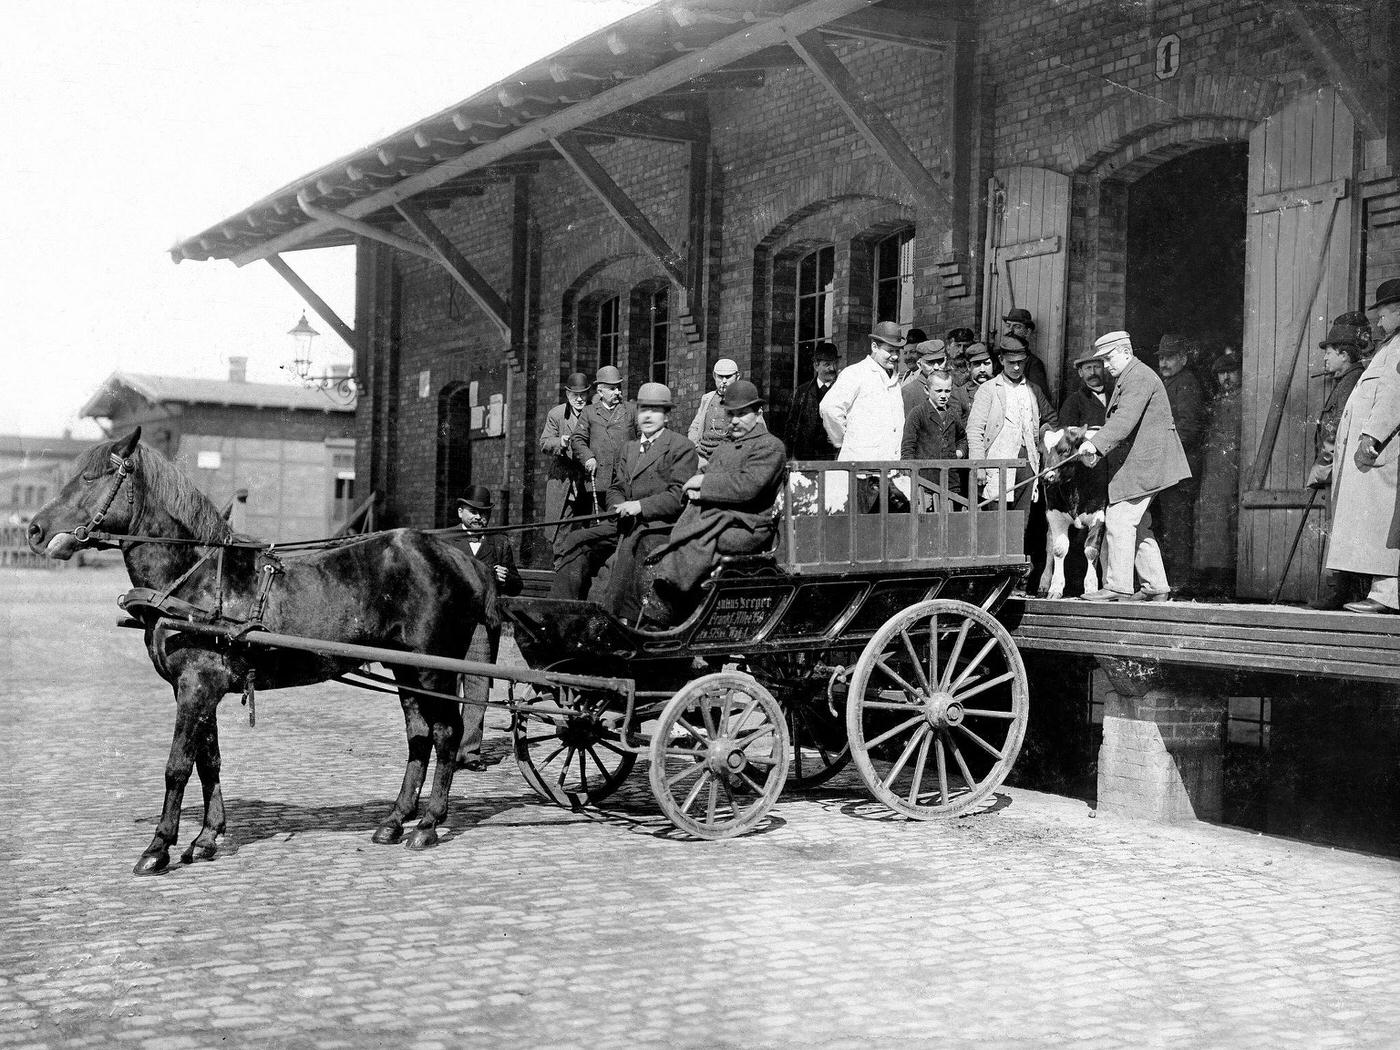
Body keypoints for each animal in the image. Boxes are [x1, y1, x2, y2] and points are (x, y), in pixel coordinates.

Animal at [27, 428, 501, 879]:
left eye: (93, 477)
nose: (33, 530)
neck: (196, 580)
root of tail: (463, 560)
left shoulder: (196, 687)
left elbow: (178, 765)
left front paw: (158, 847)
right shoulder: (200, 690)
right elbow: (209, 762)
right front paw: (207, 838)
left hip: (432, 672)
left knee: (447, 734)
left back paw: (429, 824)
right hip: (406, 670)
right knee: (419, 737)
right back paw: (395, 820)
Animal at [1041, 425, 1103, 599]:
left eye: (1066, 450)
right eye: (1042, 452)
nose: (1046, 476)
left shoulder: (1098, 514)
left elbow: (1091, 550)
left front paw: (1091, 587)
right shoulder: (1054, 514)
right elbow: (1058, 549)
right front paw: (1055, 587)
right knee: (1049, 542)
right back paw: (1044, 582)